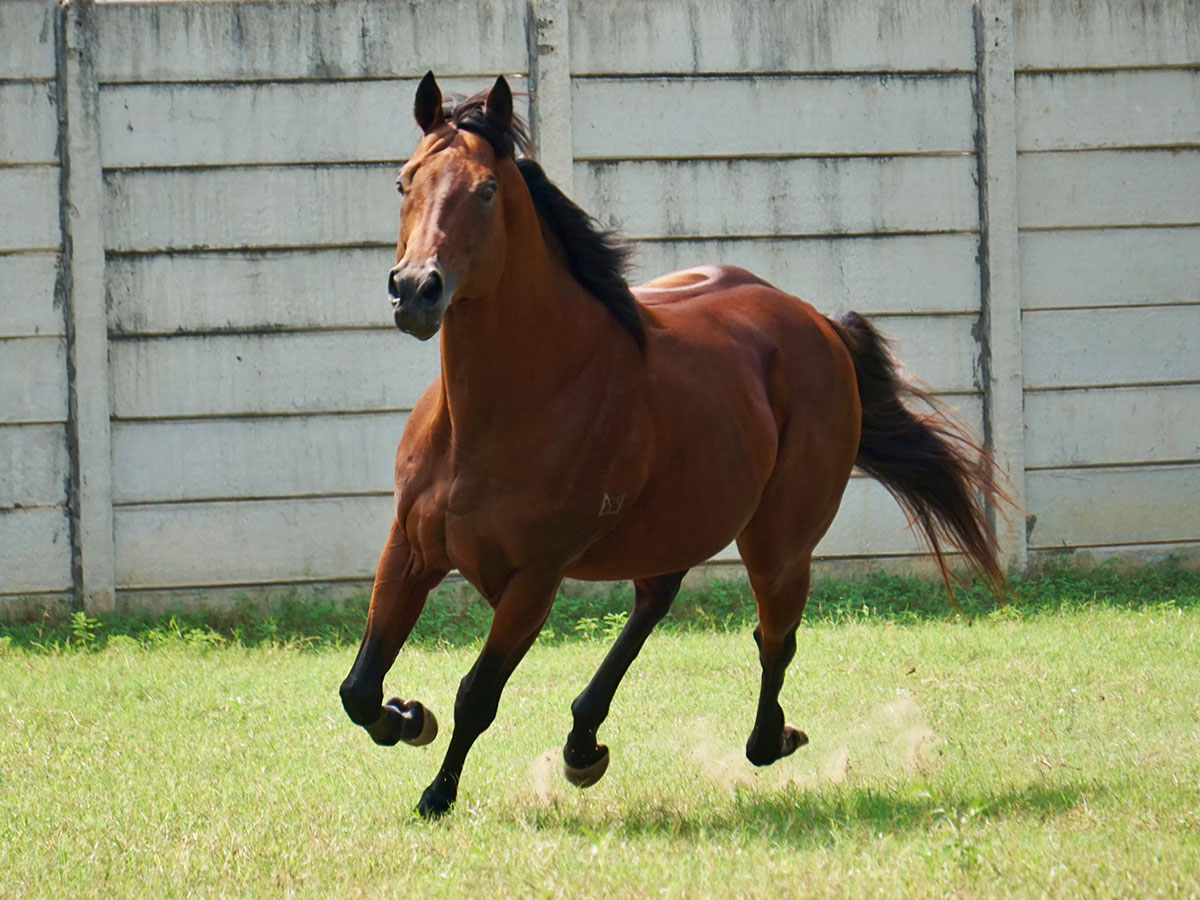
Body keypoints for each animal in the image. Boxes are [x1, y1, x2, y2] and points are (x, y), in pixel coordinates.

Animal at [339, 72, 1006, 819]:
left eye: (485, 190)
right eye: (404, 182)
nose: (415, 292)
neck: (501, 410)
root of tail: (816, 323)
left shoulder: (535, 578)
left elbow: (477, 695)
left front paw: (436, 794)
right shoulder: (410, 547)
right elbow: (359, 688)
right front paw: (405, 717)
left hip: (777, 546)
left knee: (773, 639)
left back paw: (769, 740)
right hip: (682, 521)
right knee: (658, 601)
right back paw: (583, 746)